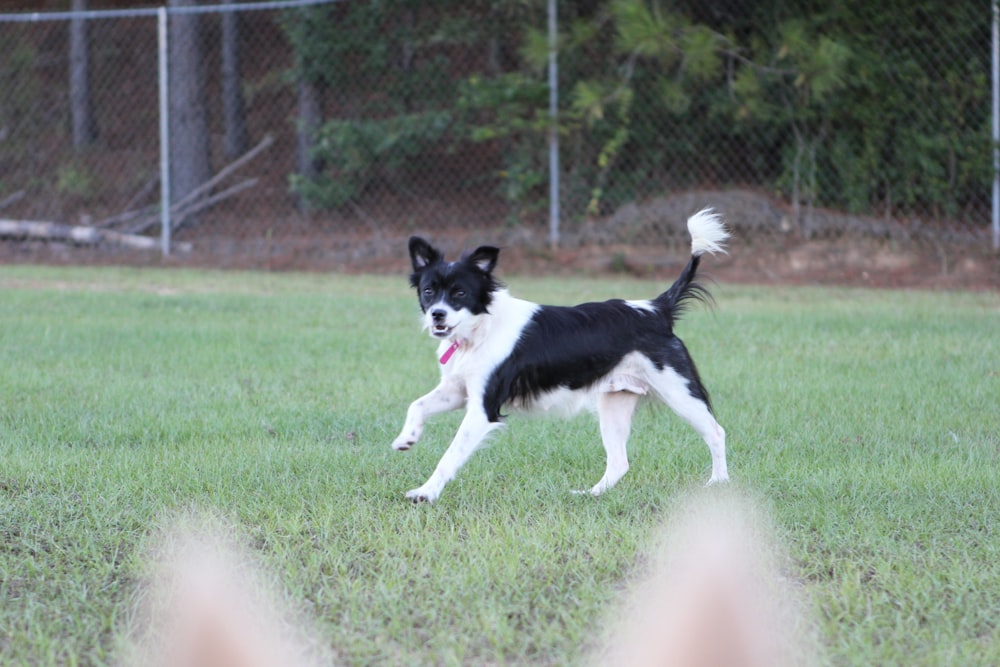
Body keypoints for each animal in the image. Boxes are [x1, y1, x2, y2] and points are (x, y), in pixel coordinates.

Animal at [394, 209, 732, 500]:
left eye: (460, 293)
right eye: (428, 291)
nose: (437, 315)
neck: (480, 328)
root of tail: (656, 308)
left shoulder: (483, 408)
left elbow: (450, 454)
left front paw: (426, 492)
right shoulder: (458, 391)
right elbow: (416, 404)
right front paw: (406, 438)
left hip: (679, 392)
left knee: (716, 432)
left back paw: (718, 484)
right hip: (615, 403)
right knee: (619, 462)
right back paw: (591, 495)